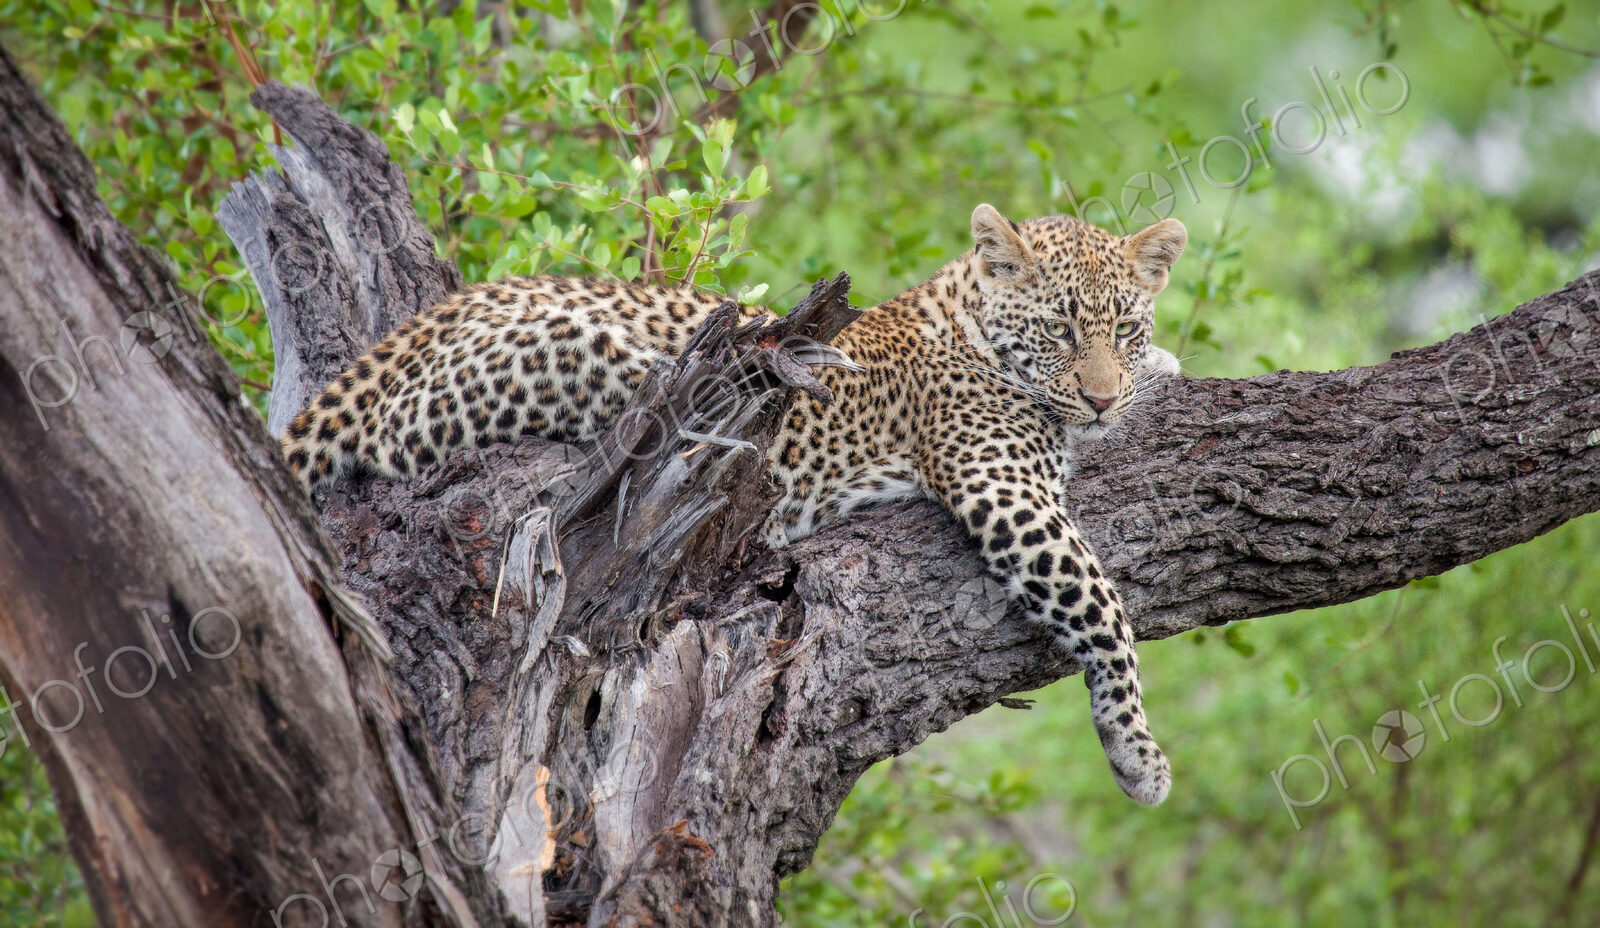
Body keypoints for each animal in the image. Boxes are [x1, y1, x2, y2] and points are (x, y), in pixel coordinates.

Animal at [281, 204, 1187, 806]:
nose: (1102, 399)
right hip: (604, 360)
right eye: (1060, 331)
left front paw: (1157, 372)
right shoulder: (1001, 486)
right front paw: (1139, 754)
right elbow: (1103, 606)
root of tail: (446, 311)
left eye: (1124, 329)